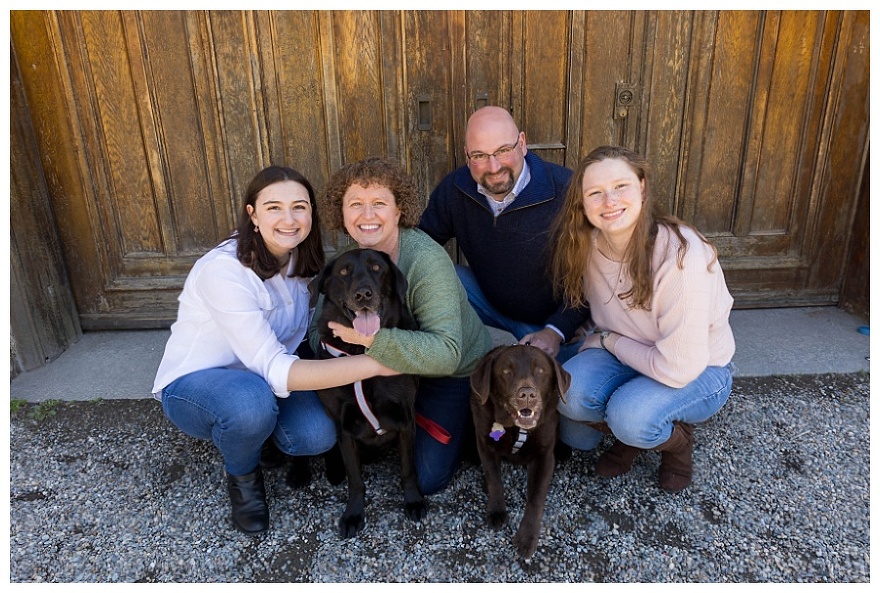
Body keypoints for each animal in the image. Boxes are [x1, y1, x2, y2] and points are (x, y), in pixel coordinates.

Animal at [310, 249, 426, 536]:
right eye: (343, 272)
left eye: (376, 268)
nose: (363, 294)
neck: (359, 351)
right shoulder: (345, 428)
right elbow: (355, 479)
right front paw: (353, 514)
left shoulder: (405, 419)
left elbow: (408, 470)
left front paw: (413, 501)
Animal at [468, 342, 572, 560]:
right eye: (506, 372)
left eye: (540, 370)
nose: (526, 394)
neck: (516, 428)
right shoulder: (485, 444)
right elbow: (494, 479)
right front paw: (496, 511)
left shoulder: (544, 457)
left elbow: (536, 498)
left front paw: (527, 537)